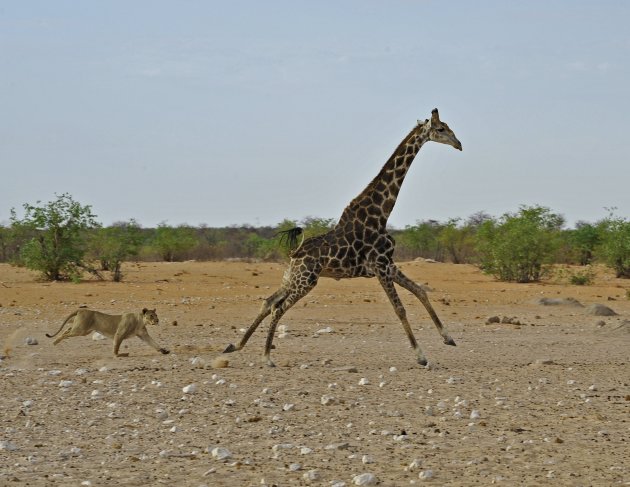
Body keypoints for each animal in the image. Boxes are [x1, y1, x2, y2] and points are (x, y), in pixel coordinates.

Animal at [226, 107, 464, 366]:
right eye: (441, 129)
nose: (459, 144)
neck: (381, 213)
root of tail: (294, 253)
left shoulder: (388, 264)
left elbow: (420, 291)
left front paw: (448, 338)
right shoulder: (380, 265)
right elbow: (399, 308)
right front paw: (420, 355)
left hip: (292, 277)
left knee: (268, 301)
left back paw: (235, 346)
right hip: (306, 280)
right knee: (278, 308)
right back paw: (267, 356)